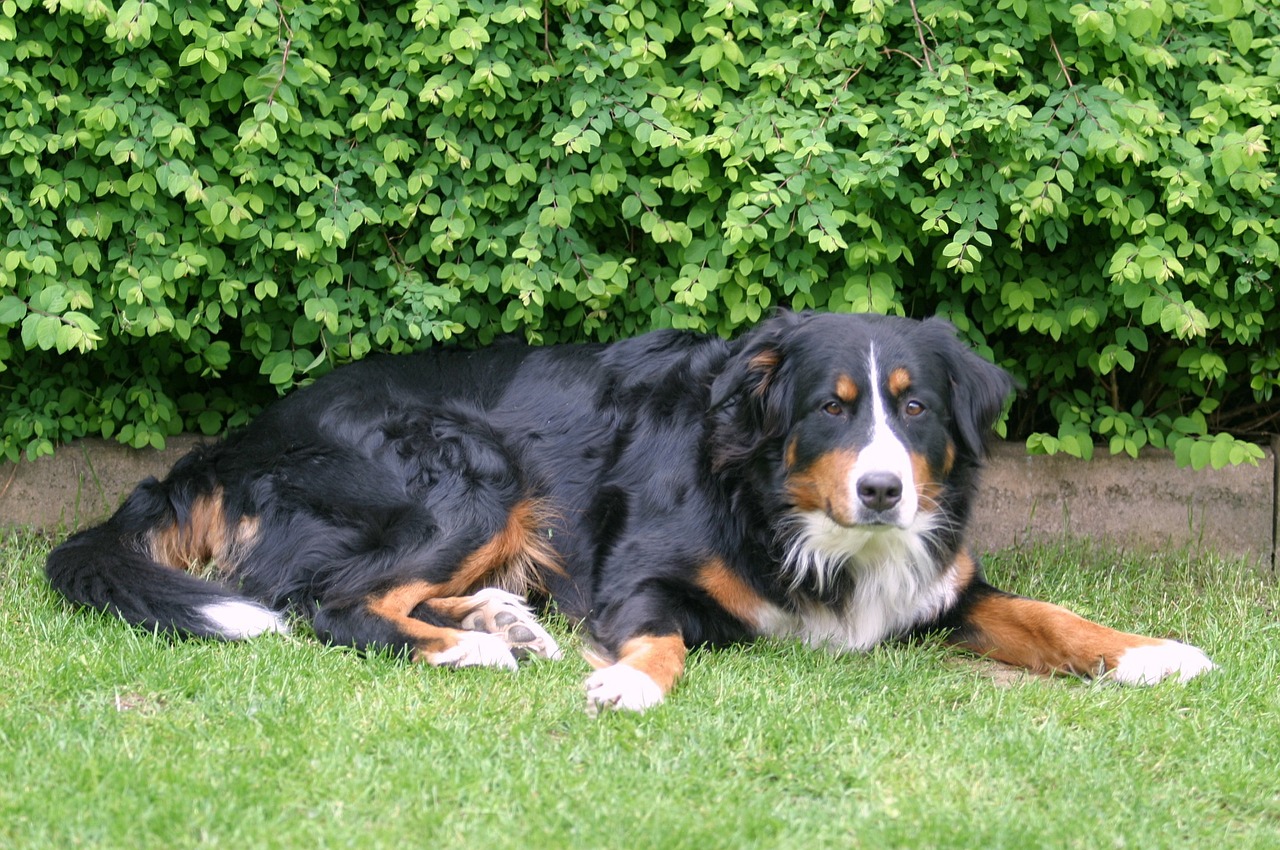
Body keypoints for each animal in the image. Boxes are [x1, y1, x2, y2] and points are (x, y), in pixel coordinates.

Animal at [45, 312, 1213, 711]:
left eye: (912, 406)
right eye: (829, 410)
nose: (883, 490)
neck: (800, 520)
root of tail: (234, 440)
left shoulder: (936, 584)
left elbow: (1043, 616)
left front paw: (1145, 651)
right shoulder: (636, 572)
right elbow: (661, 634)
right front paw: (630, 682)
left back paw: (496, 621)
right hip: (468, 467)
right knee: (325, 599)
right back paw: (474, 645)